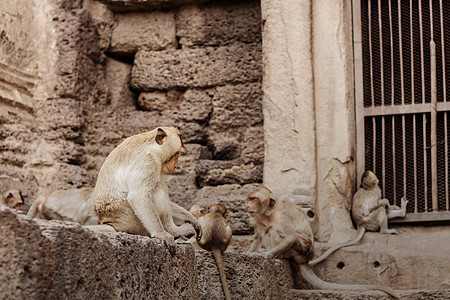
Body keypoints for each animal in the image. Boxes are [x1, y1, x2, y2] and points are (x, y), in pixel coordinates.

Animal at [248, 184, 400, 298]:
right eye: (250, 198)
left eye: (254, 199)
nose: (248, 205)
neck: (269, 213)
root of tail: (305, 260)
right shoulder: (258, 219)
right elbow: (258, 237)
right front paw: (250, 252)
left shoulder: (281, 216)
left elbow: (290, 237)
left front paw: (266, 255)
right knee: (267, 231)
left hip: (299, 250)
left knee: (275, 231)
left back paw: (277, 255)